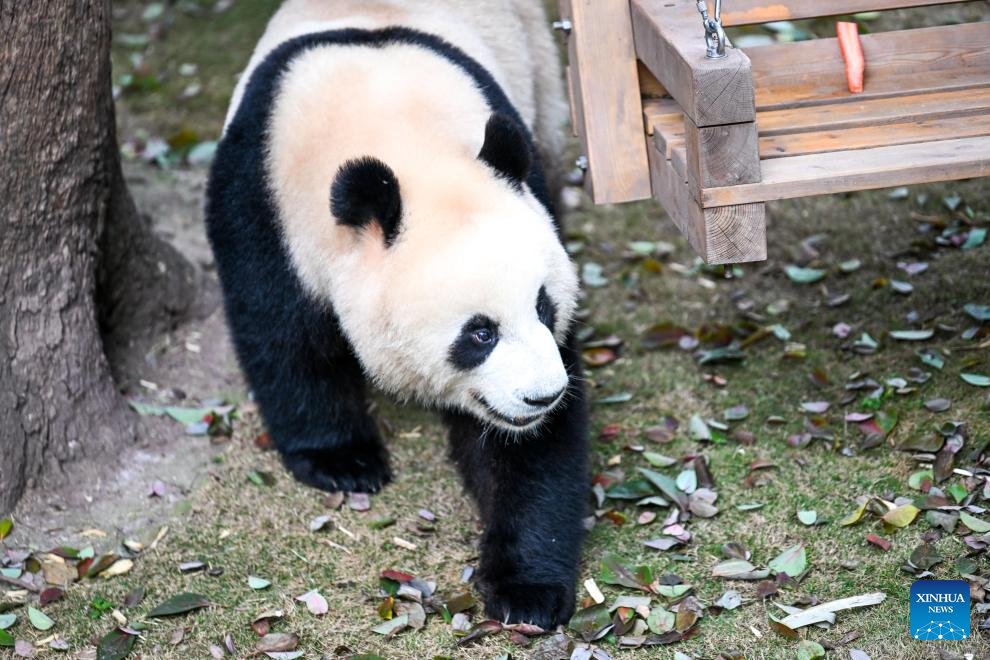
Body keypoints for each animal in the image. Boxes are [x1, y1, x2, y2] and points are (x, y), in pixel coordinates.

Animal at [205, 0, 588, 627]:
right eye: (479, 333)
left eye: (543, 304)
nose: (541, 397)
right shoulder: (259, 200)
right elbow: (280, 336)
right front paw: (343, 459)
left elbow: (529, 451)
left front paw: (526, 590)